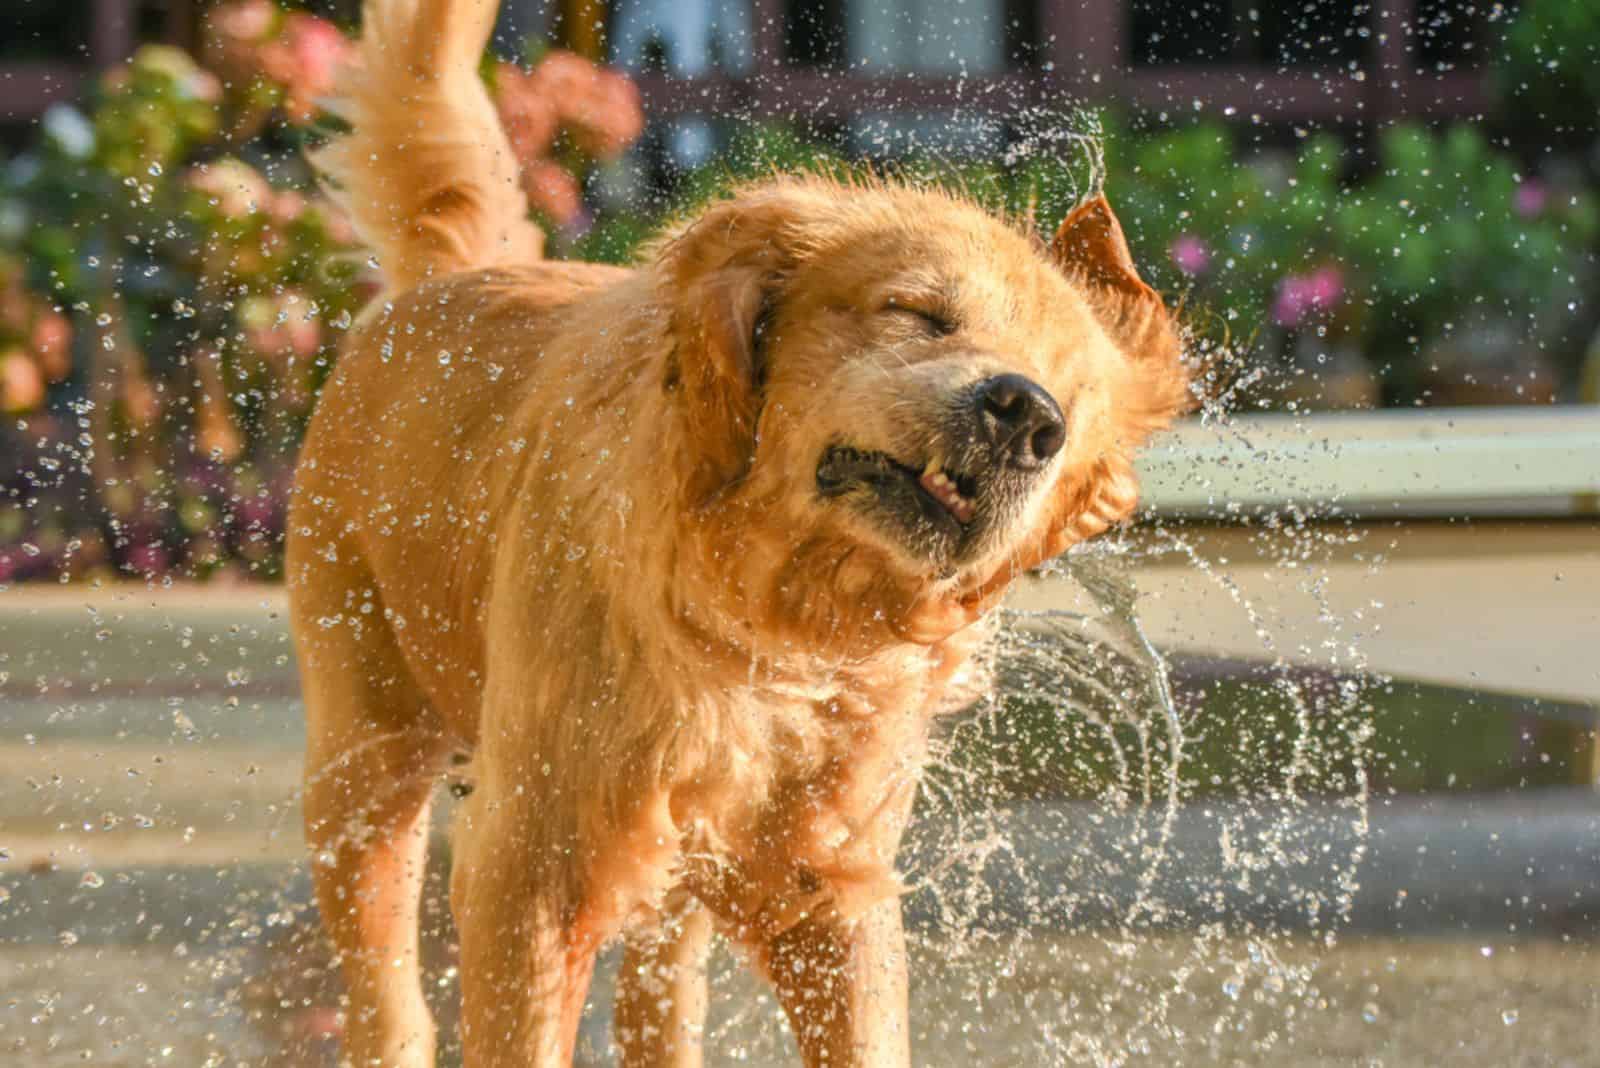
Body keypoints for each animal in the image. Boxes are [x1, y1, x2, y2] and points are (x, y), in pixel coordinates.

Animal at [284, 4, 1190, 1061]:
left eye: (1074, 405)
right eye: (919, 312)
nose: (1027, 418)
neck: (766, 617)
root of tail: (456, 275)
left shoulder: (829, 884)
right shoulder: (529, 869)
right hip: (364, 756)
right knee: (385, 981)